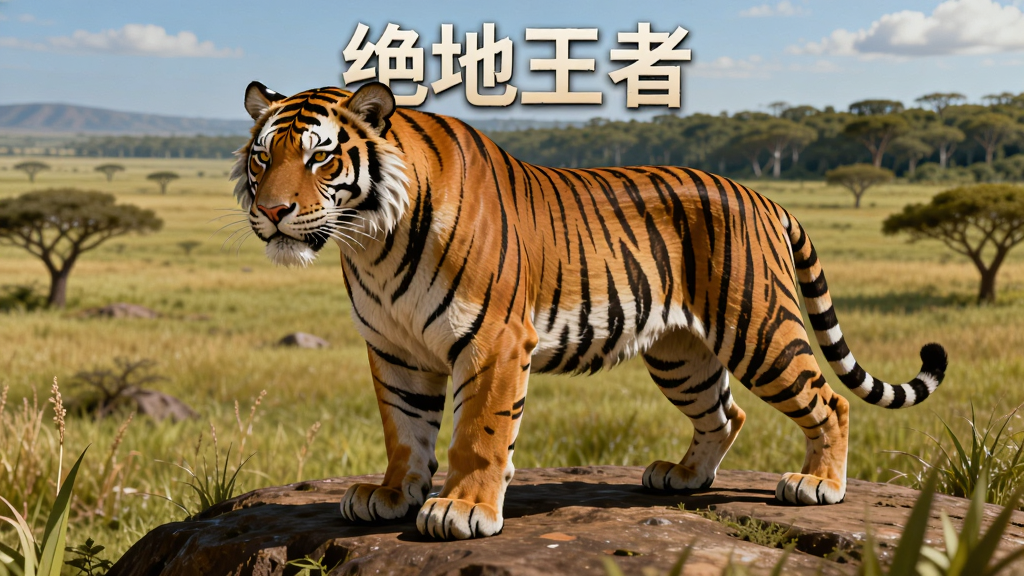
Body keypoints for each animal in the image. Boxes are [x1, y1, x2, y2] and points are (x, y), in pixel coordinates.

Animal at [231, 80, 948, 540]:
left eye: (320, 156)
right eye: (263, 156)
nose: (271, 211)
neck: (372, 240)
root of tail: (764, 196)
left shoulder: (492, 340)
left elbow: (478, 434)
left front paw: (462, 509)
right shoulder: (396, 349)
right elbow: (405, 432)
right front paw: (390, 495)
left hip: (759, 328)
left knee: (830, 401)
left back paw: (818, 484)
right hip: (682, 355)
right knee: (726, 412)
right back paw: (683, 476)